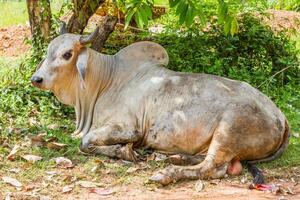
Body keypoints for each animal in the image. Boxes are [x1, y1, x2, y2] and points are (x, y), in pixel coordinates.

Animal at [30, 25, 288, 186]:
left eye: (67, 54)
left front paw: (124, 150)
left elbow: (85, 142)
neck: (106, 81)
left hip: (228, 130)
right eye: (49, 51)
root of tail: (281, 117)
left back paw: (166, 173)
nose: (36, 79)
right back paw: (173, 158)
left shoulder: (129, 127)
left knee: (213, 168)